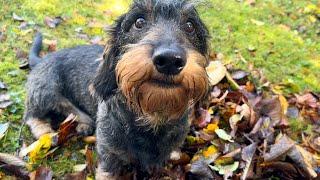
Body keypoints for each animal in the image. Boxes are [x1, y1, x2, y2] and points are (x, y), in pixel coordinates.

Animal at [25, 0, 210, 178]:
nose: (170, 60)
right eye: (139, 22)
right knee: (32, 115)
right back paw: (45, 132)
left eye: (190, 26)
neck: (151, 117)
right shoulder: (109, 154)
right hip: (46, 90)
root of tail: (42, 59)